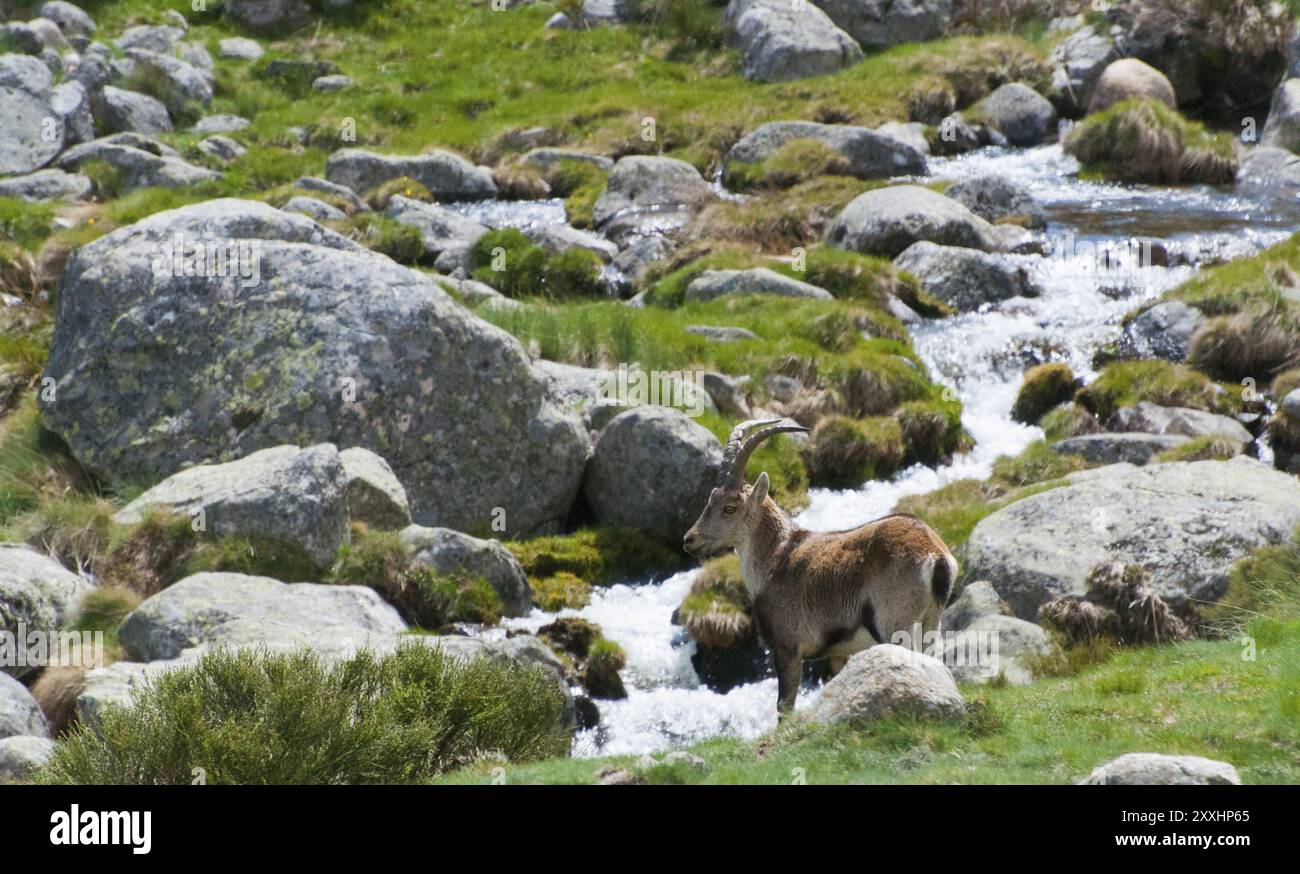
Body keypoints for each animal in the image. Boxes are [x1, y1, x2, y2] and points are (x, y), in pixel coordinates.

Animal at [683, 418, 957, 716]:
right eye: (711, 499)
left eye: (730, 508)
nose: (689, 539)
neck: (775, 558)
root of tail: (935, 555)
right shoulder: (839, 652)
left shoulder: (788, 647)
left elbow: (784, 707)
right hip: (930, 622)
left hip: (897, 625)